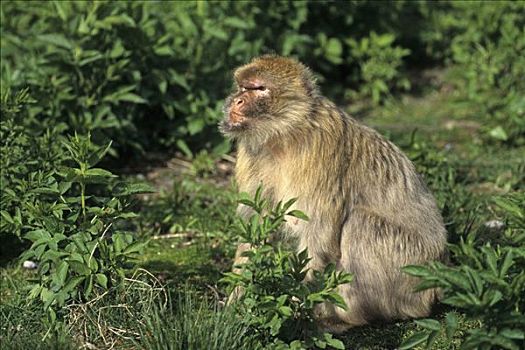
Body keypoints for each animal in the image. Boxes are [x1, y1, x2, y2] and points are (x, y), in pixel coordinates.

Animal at [218, 55, 446, 334]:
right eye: (242, 86)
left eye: (259, 88)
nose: (237, 99)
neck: (284, 135)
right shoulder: (252, 155)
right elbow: (254, 230)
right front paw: (235, 305)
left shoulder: (319, 155)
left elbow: (318, 237)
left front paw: (295, 313)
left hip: (412, 274)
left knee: (361, 224)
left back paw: (346, 319)